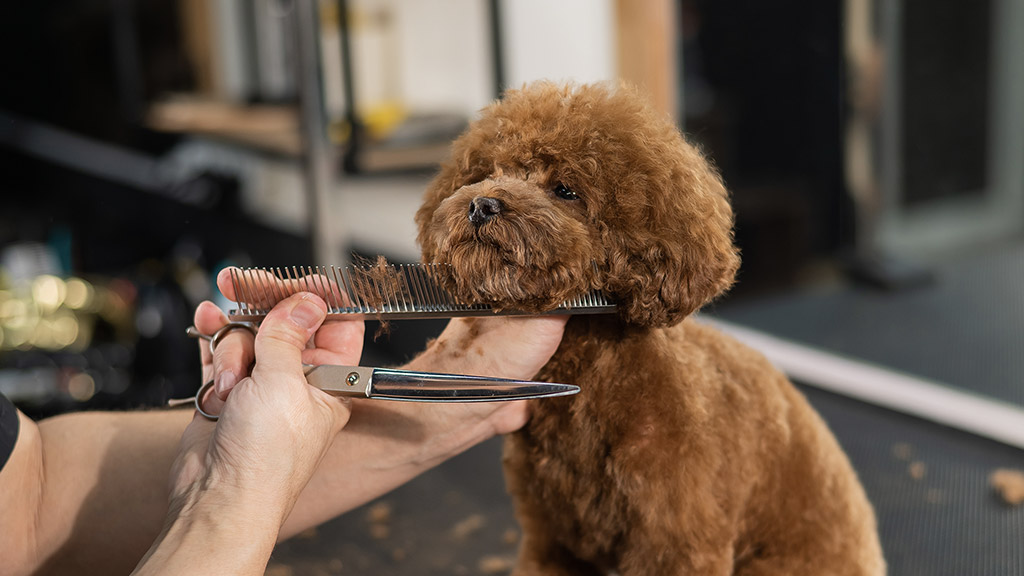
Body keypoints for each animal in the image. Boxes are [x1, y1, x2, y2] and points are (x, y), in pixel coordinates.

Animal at [411, 81, 884, 573]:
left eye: (565, 190)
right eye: (489, 172)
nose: (481, 204)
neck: (592, 383)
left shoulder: (676, 545)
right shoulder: (550, 541)